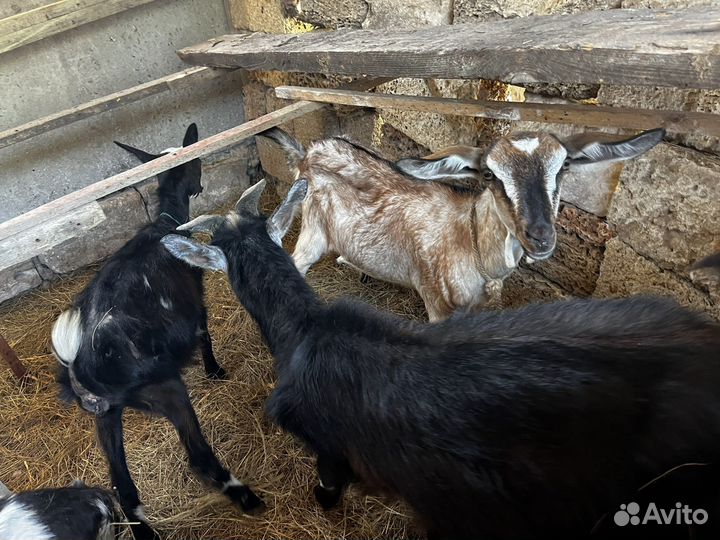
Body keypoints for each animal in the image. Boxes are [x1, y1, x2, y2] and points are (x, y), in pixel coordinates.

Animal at [50, 124, 264, 540]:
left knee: (122, 484)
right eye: (196, 161)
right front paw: (215, 370)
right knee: (197, 456)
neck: (167, 223)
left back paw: (146, 532)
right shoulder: (196, 296)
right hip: (164, 389)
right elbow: (204, 331)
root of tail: (83, 370)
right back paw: (246, 497)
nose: (200, 183)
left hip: (105, 416)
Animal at [259, 128, 664, 320]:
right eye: (490, 175)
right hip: (312, 228)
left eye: (563, 166)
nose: (539, 236)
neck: (470, 243)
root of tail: (308, 152)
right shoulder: (437, 305)